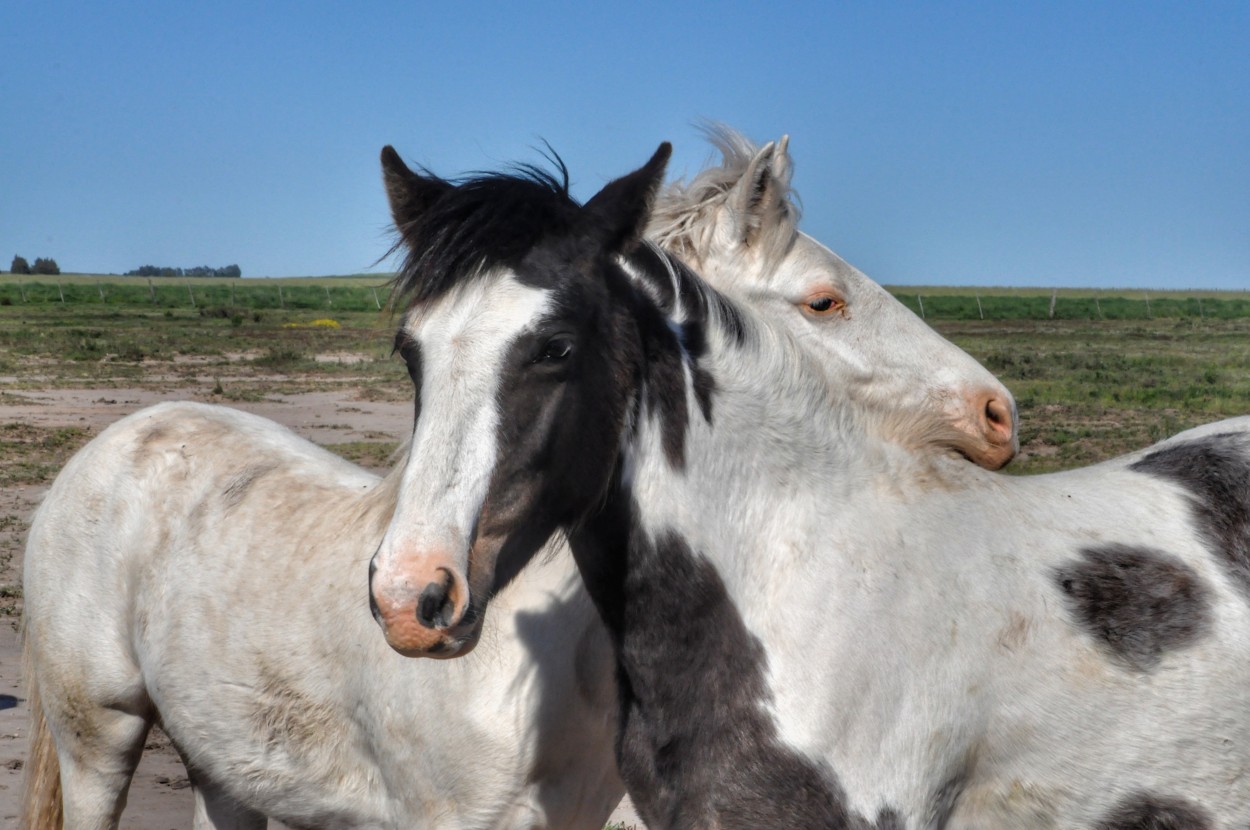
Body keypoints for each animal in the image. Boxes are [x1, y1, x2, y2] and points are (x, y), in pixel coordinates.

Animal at [19, 131, 1015, 830]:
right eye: (824, 300)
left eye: (560, 348)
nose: (997, 413)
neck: (525, 663)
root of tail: (115, 441)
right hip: (100, 737)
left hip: (223, 763)